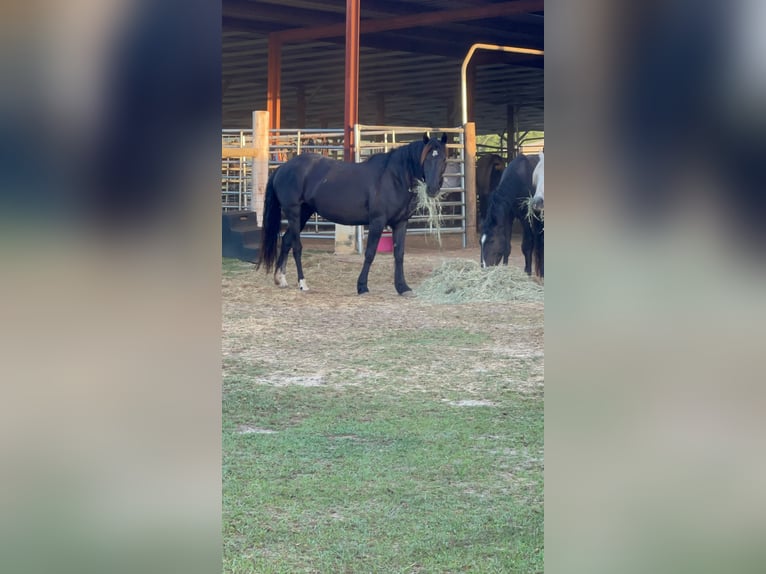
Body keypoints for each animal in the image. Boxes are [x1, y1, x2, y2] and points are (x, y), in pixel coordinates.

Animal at [256, 133, 449, 295]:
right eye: (425, 158)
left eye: (444, 159)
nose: (432, 189)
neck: (394, 177)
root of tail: (282, 169)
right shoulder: (377, 222)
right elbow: (370, 253)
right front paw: (362, 286)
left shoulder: (401, 223)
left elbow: (399, 255)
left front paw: (402, 287)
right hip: (294, 213)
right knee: (296, 246)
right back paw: (303, 283)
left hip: (304, 213)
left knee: (286, 240)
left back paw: (280, 279)